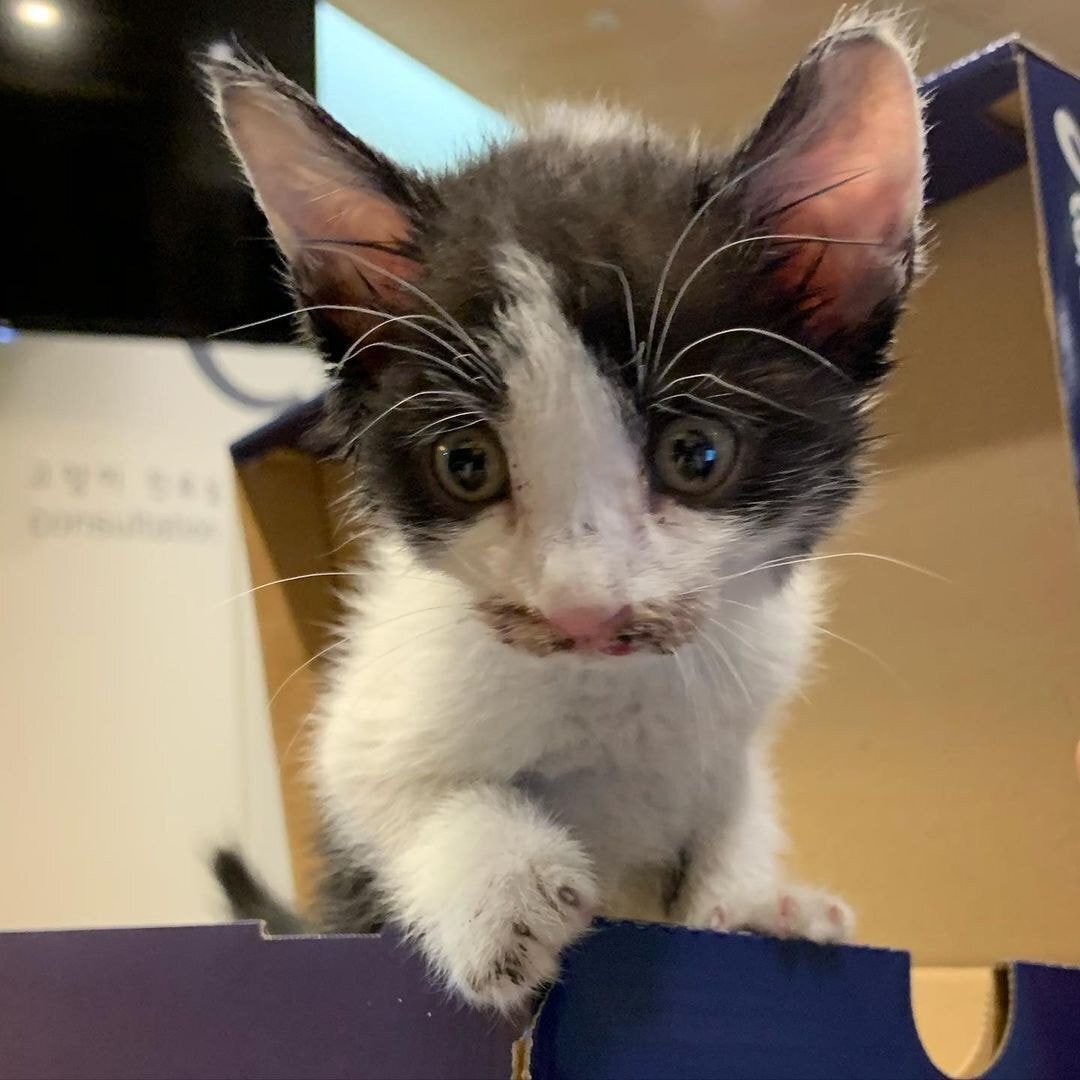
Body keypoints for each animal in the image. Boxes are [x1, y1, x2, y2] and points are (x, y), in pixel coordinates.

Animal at [208, 8, 925, 1013]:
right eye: (466, 464)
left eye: (697, 454)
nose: (584, 608)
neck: (611, 695)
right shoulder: (364, 724)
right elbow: (389, 789)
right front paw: (500, 885)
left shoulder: (738, 727)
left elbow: (735, 813)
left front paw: (751, 903)